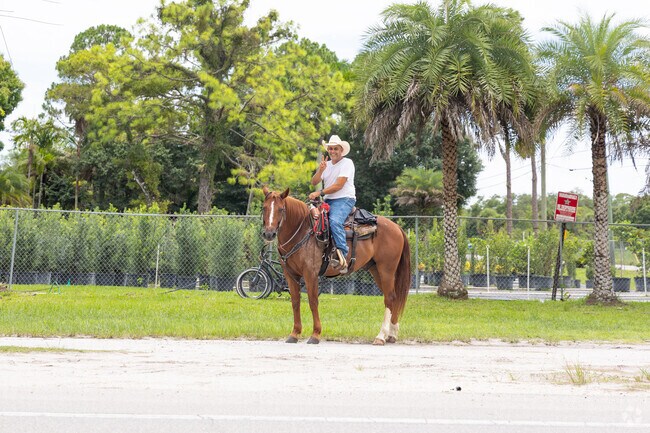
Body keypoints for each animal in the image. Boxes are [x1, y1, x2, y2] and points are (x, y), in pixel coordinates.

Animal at [261, 186, 411, 345]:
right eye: (264, 208)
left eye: (281, 209)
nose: (269, 234)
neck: (302, 231)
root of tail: (396, 227)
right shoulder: (290, 274)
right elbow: (295, 302)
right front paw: (294, 334)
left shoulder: (310, 273)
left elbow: (313, 301)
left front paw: (315, 334)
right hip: (375, 269)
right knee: (393, 297)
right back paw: (391, 334)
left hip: (386, 269)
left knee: (389, 298)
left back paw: (381, 336)